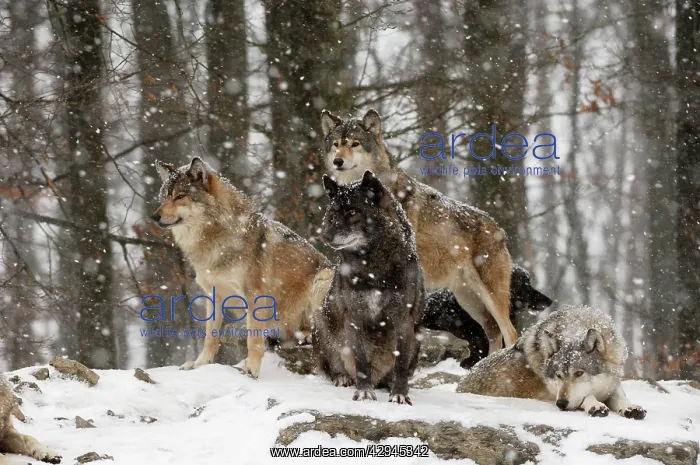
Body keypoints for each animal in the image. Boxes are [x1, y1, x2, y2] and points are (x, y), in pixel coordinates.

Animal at [152, 158, 333, 378]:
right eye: (165, 197)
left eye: (180, 196)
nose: (154, 216)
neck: (214, 239)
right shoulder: (213, 295)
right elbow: (210, 336)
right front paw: (200, 364)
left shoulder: (255, 294)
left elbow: (253, 340)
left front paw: (251, 371)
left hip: (324, 278)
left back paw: (306, 336)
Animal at [312, 170, 424, 404]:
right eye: (332, 213)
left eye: (353, 212)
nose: (325, 236)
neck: (372, 268)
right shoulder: (354, 317)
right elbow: (361, 360)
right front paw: (364, 392)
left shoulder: (404, 319)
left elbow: (400, 363)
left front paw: (399, 394)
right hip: (320, 321)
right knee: (329, 367)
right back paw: (342, 377)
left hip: (419, 335)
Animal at [321, 110, 515, 354]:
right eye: (336, 144)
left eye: (355, 144)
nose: (338, 161)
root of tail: (498, 227)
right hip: (468, 299)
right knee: (493, 332)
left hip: (489, 294)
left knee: (510, 331)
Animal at [457, 305, 646, 419]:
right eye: (558, 375)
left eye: (579, 373)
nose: (561, 403)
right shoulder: (549, 395)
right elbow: (587, 396)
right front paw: (596, 405)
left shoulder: (612, 384)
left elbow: (621, 397)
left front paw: (631, 407)